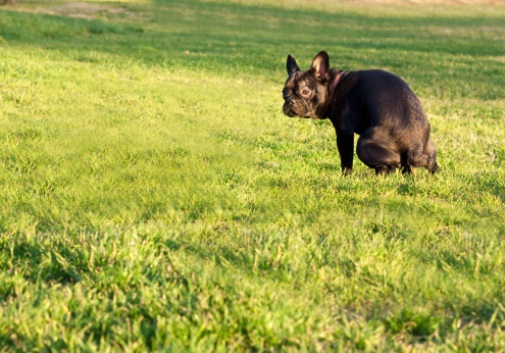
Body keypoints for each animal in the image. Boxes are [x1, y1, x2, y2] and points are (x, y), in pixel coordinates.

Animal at [284, 50, 438, 175]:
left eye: (305, 92)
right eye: (284, 92)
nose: (291, 101)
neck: (334, 86)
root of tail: (415, 146)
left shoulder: (344, 133)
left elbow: (346, 159)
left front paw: (346, 176)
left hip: (363, 145)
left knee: (394, 164)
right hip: (429, 148)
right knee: (422, 164)